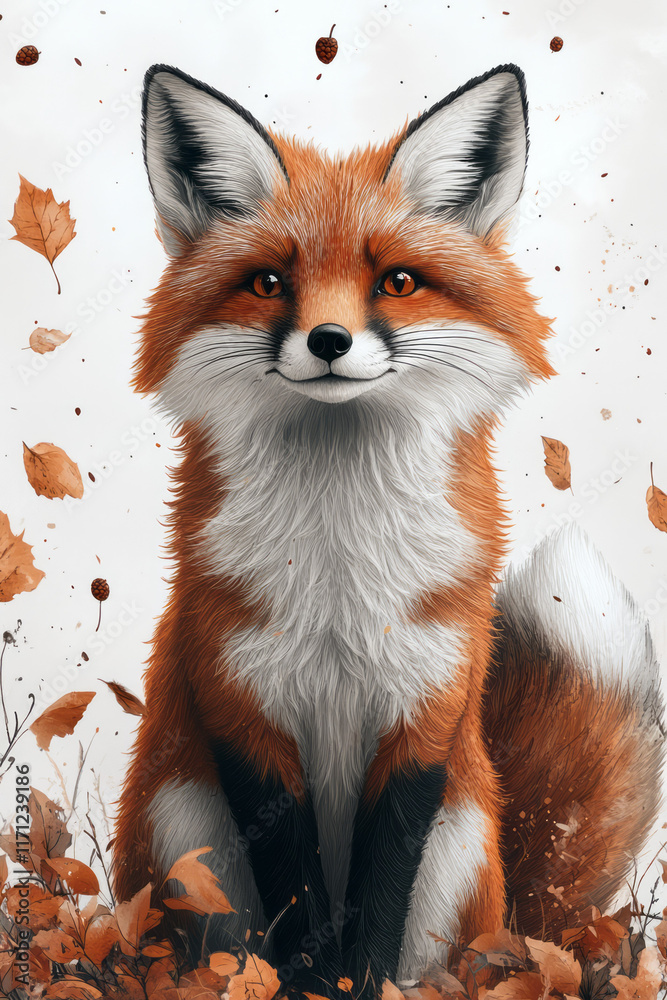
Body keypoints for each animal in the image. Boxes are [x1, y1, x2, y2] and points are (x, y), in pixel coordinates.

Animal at [113, 62, 664, 997]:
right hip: (183, 829)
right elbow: (300, 897)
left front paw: (357, 986)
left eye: (396, 282)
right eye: (269, 284)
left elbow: (375, 897)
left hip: (461, 844)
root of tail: (523, 924)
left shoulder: (425, 711)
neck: (338, 573)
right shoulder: (243, 709)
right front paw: (308, 986)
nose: (329, 339)